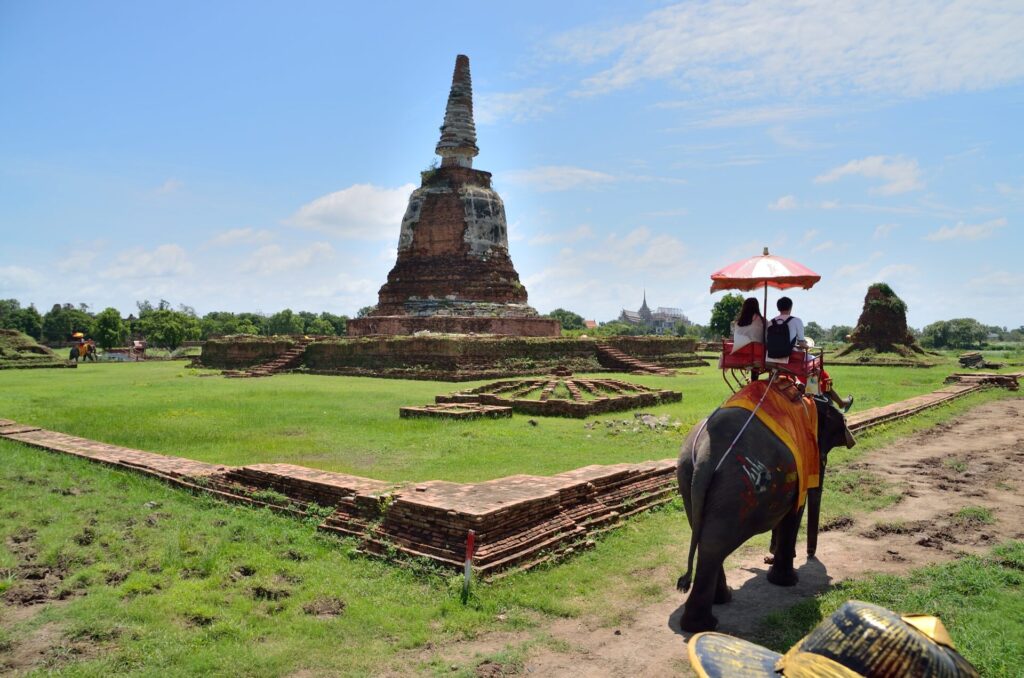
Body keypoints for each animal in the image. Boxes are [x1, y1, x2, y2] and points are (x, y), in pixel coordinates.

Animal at [671, 395, 856, 634]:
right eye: (821, 458)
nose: (810, 555)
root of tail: (706, 455)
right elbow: (795, 512)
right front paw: (787, 581)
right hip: (736, 489)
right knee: (713, 546)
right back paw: (703, 624)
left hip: (687, 477)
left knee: (704, 537)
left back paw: (719, 603)